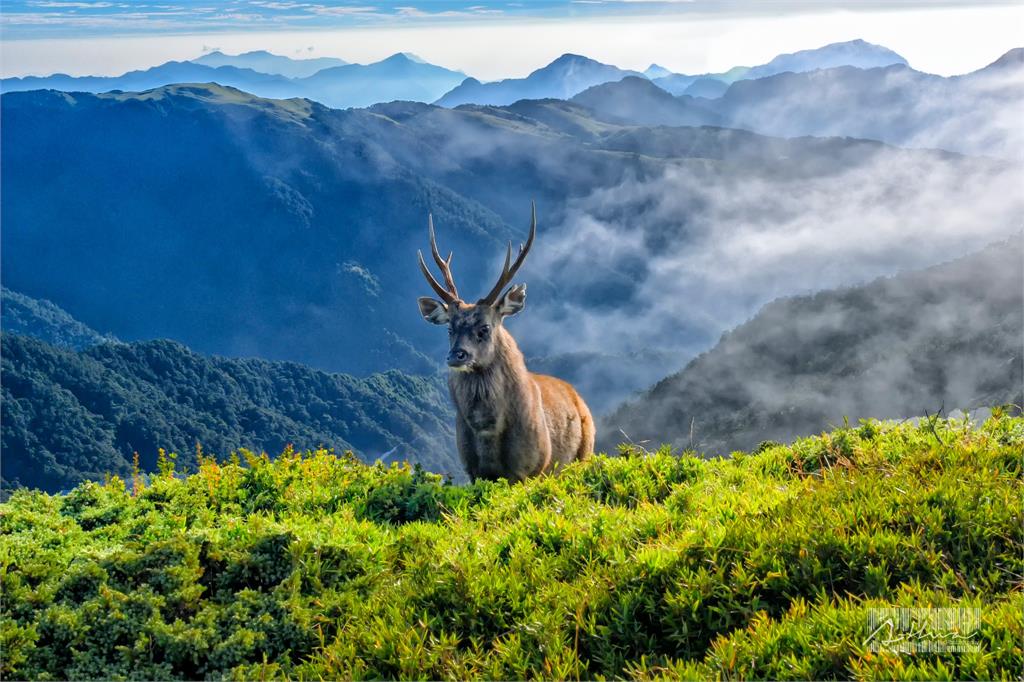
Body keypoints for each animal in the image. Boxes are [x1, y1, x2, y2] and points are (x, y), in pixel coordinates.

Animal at [413, 204, 593, 481]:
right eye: (450, 329)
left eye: (484, 328)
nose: (456, 355)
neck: (487, 433)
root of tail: (580, 399)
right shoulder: (472, 470)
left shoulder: (532, 467)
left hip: (583, 455)